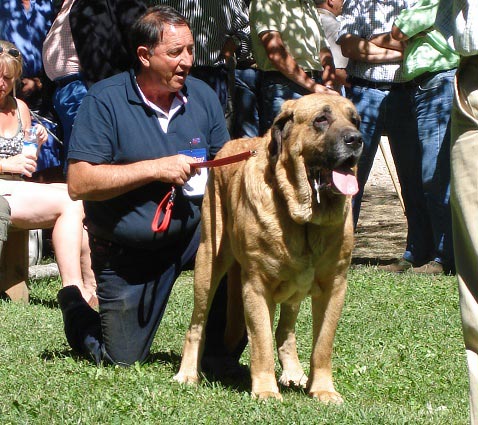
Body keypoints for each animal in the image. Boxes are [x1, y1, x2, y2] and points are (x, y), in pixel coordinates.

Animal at [175, 93, 362, 400]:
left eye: (355, 120)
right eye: (321, 119)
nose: (356, 139)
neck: (303, 219)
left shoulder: (335, 285)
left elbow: (323, 345)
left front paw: (323, 390)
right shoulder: (257, 285)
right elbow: (260, 341)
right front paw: (265, 391)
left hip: (294, 290)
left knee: (285, 332)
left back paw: (294, 373)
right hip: (208, 262)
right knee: (197, 324)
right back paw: (187, 374)